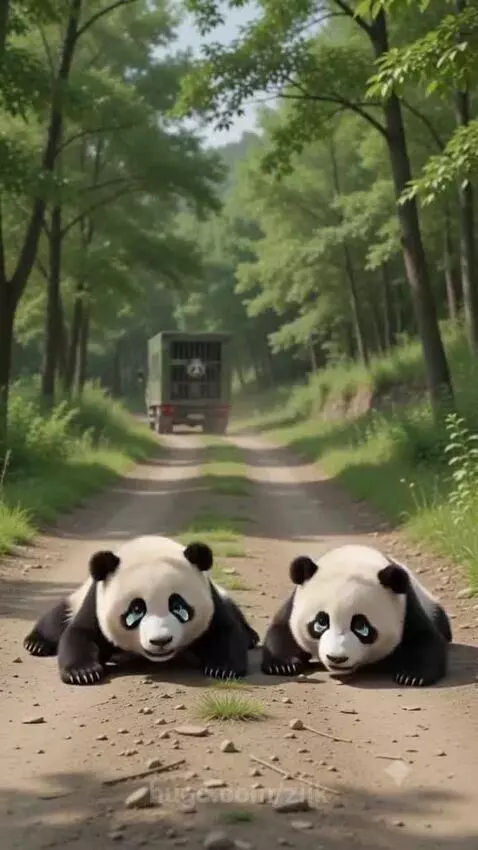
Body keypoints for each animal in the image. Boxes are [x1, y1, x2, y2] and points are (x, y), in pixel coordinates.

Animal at [24, 534, 259, 685]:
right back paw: (36, 643)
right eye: (136, 610)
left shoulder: (211, 600)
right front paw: (83, 673)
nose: (161, 641)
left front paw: (223, 668)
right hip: (76, 598)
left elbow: (224, 631)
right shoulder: (96, 603)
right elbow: (79, 634)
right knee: (57, 618)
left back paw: (251, 637)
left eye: (178, 606)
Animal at [260, 544, 452, 687]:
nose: (336, 658)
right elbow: (282, 630)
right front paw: (283, 666)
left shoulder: (406, 607)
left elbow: (424, 637)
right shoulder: (295, 602)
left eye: (361, 627)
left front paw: (411, 676)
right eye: (321, 622)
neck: (354, 557)